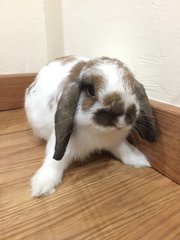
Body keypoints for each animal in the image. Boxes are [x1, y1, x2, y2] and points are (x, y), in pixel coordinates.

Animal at [24, 55, 157, 197]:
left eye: (133, 89)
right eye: (91, 90)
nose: (121, 120)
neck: (99, 133)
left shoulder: (116, 142)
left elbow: (124, 150)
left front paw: (139, 160)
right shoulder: (62, 144)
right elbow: (54, 161)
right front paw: (42, 184)